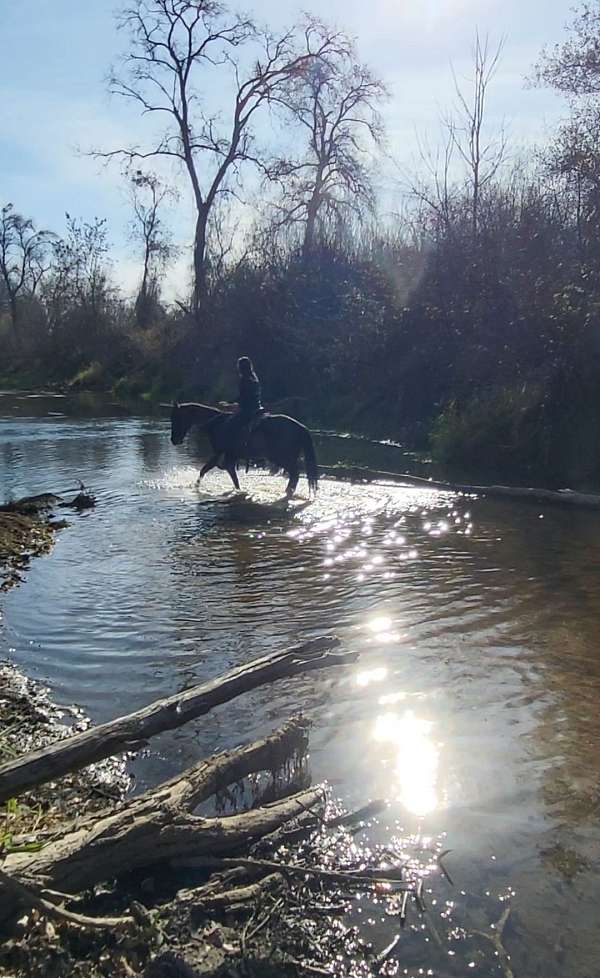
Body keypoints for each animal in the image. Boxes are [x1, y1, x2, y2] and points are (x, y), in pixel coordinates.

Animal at [169, 400, 318, 496]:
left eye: (176, 418)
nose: (174, 440)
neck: (217, 424)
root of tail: (300, 427)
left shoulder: (221, 455)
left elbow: (210, 471)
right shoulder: (226, 457)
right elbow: (211, 471)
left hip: (283, 458)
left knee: (295, 475)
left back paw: (287, 492)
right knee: (294, 476)